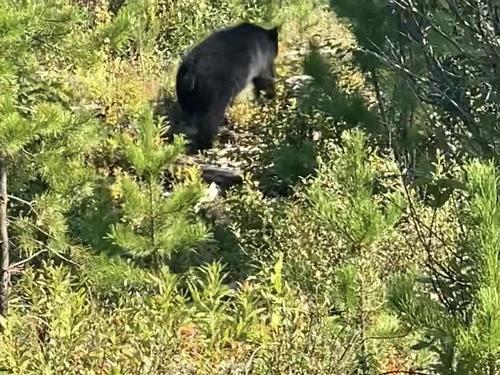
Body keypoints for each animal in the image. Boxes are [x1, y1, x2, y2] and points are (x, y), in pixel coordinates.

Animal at [175, 22, 278, 151]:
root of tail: (191, 72)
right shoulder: (262, 58)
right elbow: (264, 78)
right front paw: (270, 96)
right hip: (215, 88)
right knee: (211, 116)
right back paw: (208, 143)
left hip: (185, 92)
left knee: (190, 113)